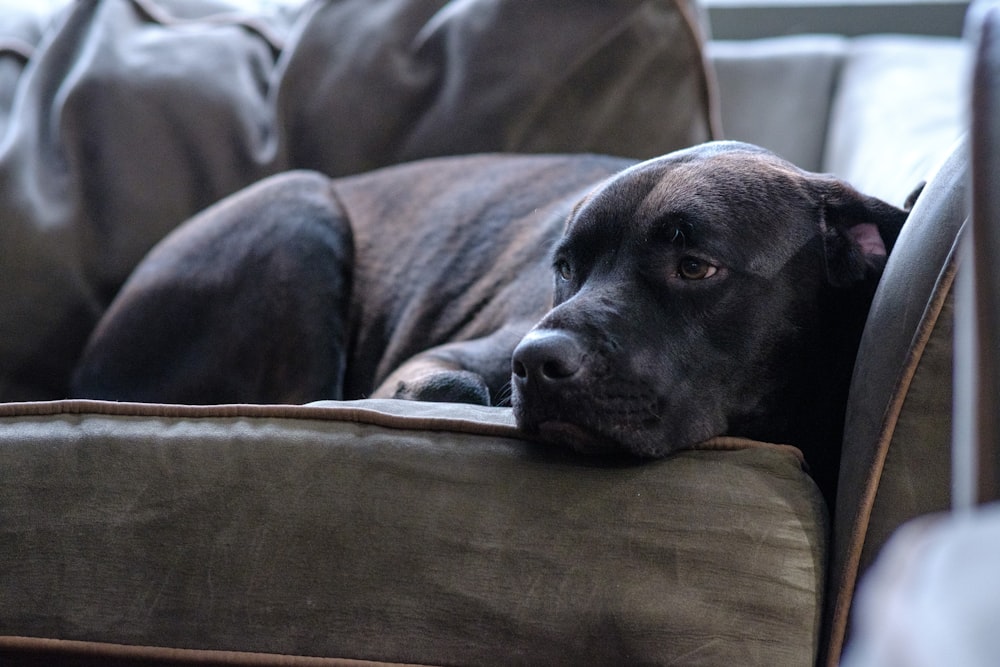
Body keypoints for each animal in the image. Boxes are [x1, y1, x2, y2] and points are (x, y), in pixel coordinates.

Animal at [74, 142, 912, 506]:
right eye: (564, 265)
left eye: (696, 265)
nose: (536, 361)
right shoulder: (432, 360)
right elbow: (446, 382)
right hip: (295, 210)